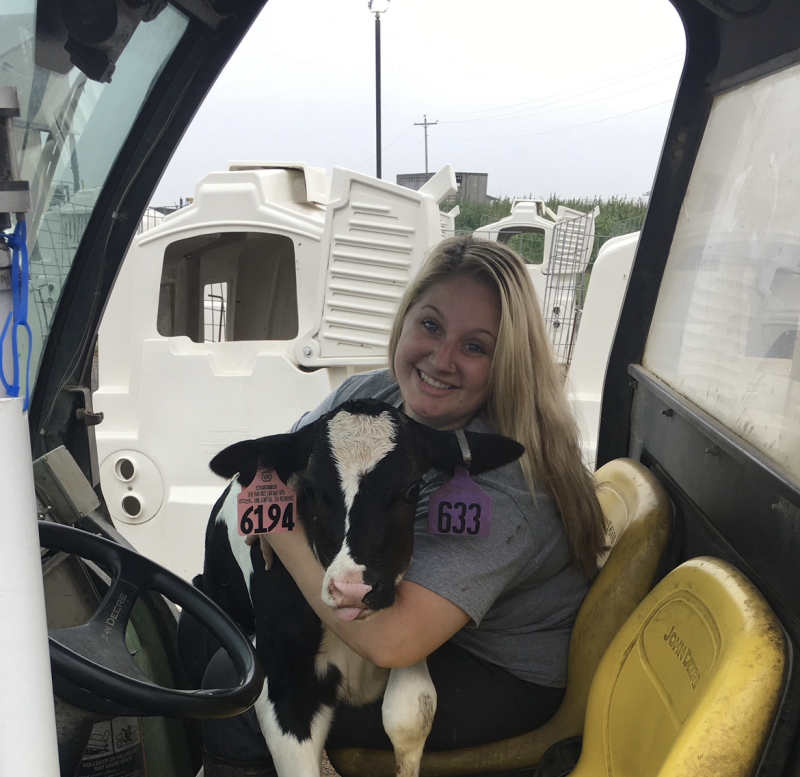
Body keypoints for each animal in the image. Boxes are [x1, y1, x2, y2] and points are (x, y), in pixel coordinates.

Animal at [198, 400, 524, 776]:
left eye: (412, 489)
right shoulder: (284, 682)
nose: (353, 589)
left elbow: (408, 715)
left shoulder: (404, 641)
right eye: (309, 489)